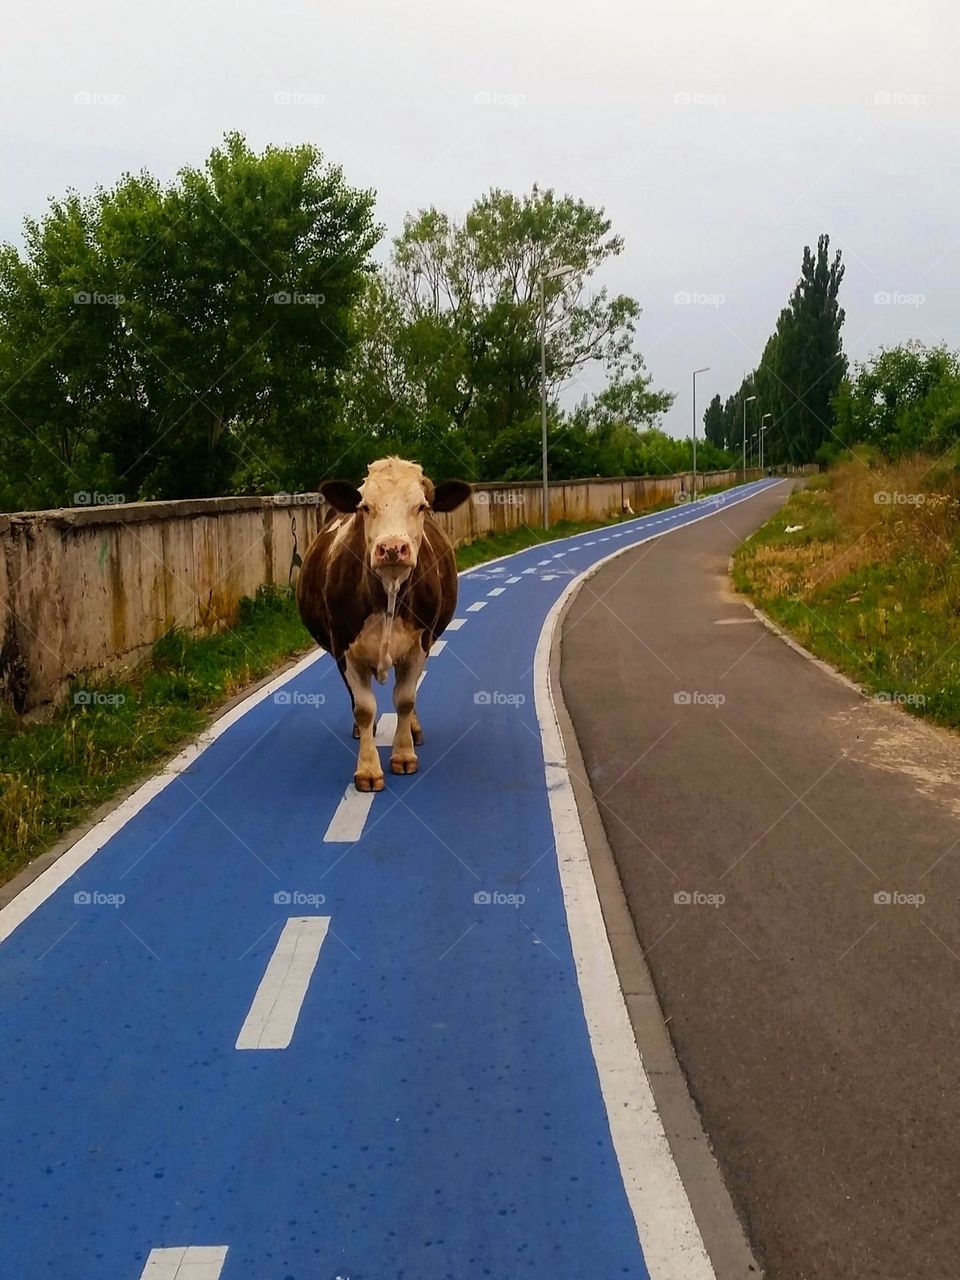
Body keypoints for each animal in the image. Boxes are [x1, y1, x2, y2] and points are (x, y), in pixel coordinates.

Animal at [295, 455, 471, 783]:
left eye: (422, 506)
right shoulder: (344, 648)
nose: (391, 548)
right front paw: (367, 769)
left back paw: (413, 729)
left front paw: (403, 754)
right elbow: (364, 707)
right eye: (365, 507)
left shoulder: (420, 644)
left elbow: (405, 699)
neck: (388, 593)